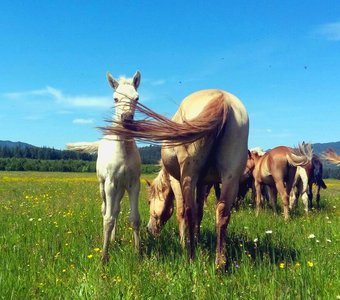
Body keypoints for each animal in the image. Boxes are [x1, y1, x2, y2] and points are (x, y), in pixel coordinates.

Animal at [67, 69, 141, 262]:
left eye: (136, 98)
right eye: (115, 98)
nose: (127, 119)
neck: (123, 150)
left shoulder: (133, 184)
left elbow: (134, 218)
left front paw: (138, 253)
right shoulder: (110, 183)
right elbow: (107, 219)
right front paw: (103, 258)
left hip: (120, 189)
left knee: (116, 210)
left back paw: (114, 239)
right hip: (104, 186)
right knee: (105, 210)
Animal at [102, 88, 248, 268]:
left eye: (149, 202)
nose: (150, 229)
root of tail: (222, 98)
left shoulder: (176, 180)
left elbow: (181, 212)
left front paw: (184, 243)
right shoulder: (203, 183)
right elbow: (200, 212)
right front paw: (197, 240)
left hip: (188, 176)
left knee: (189, 211)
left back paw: (190, 257)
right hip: (230, 178)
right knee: (222, 214)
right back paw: (219, 264)